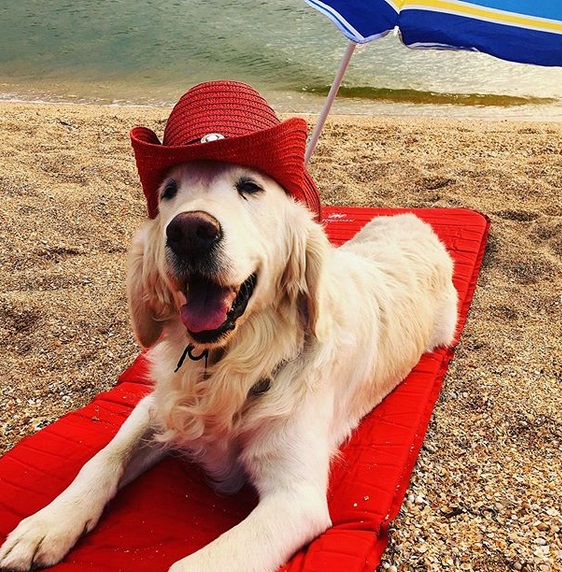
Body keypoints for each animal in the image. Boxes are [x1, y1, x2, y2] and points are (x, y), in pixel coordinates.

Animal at [0, 81, 456, 572]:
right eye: (169, 192)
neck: (230, 364)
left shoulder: (294, 497)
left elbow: (190, 565)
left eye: (250, 186)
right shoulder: (155, 406)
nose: (188, 231)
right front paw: (47, 524)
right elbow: (103, 458)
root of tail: (413, 220)